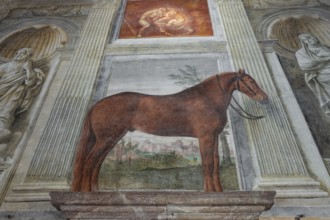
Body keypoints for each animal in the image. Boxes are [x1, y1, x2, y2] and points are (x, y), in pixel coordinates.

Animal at [71, 69, 268, 192]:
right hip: (106, 138)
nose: (264, 98)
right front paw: (211, 192)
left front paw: (217, 191)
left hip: (111, 139)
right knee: (89, 161)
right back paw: (87, 193)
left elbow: (215, 163)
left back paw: (96, 190)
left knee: (97, 162)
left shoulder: (213, 138)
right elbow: (208, 164)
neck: (207, 99)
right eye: (250, 80)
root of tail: (97, 104)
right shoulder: (205, 137)